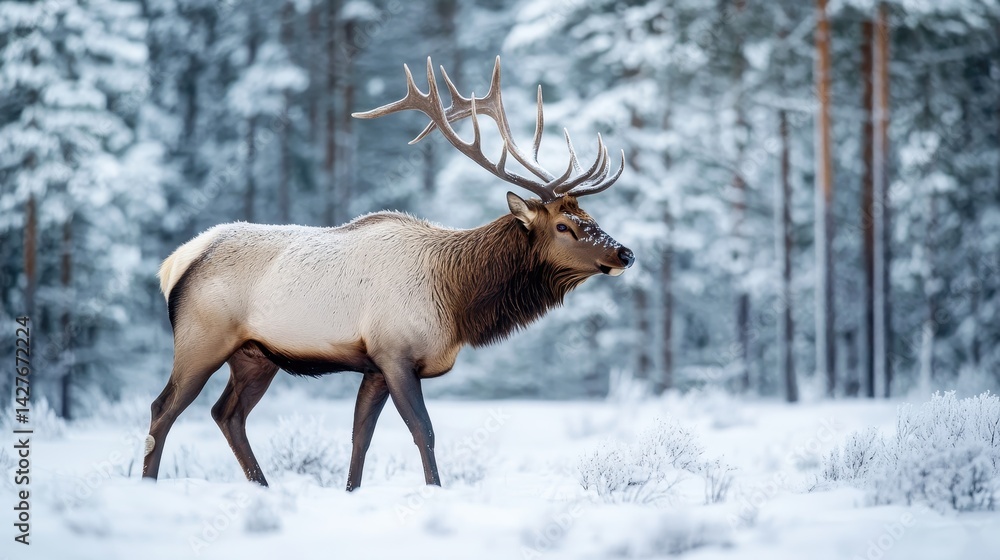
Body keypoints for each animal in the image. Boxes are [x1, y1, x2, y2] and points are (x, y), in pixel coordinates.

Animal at [142, 56, 634, 491]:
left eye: (590, 215)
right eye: (564, 225)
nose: (626, 253)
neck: (457, 301)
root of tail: (177, 261)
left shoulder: (375, 365)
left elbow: (361, 436)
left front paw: (351, 491)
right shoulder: (395, 353)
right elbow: (424, 431)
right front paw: (435, 491)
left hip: (255, 355)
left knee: (226, 414)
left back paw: (262, 486)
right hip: (201, 338)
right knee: (162, 408)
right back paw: (149, 483)